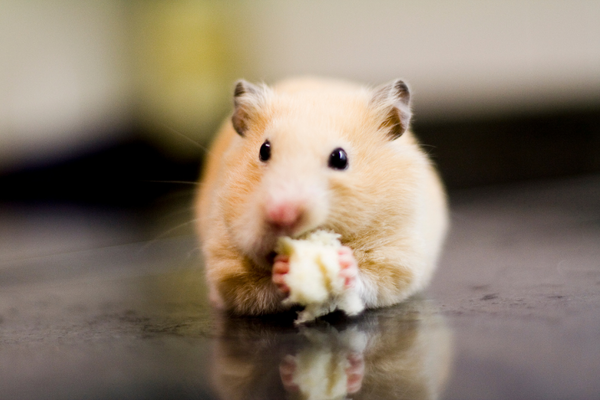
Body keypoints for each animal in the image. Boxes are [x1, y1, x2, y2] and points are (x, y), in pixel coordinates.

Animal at [195, 76, 448, 318]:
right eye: (264, 150)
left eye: (340, 158)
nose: (282, 213)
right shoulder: (227, 267)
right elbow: (256, 290)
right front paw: (283, 269)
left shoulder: (400, 255)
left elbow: (375, 279)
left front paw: (344, 264)